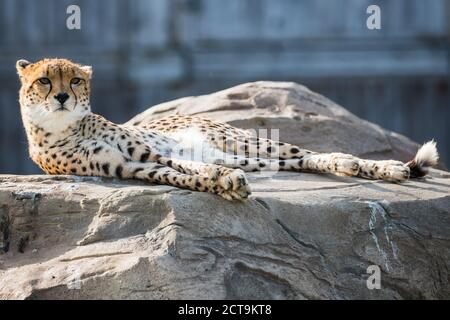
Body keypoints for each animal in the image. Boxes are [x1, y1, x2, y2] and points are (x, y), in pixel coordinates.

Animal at [16, 57, 440, 201]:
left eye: (74, 81)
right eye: (44, 81)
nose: (61, 97)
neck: (64, 127)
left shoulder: (145, 150)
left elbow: (183, 165)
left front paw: (219, 179)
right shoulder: (130, 167)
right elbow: (179, 175)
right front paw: (223, 184)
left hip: (244, 141)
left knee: (314, 154)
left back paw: (383, 167)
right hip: (245, 155)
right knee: (298, 164)